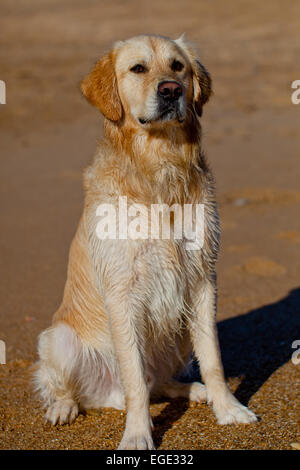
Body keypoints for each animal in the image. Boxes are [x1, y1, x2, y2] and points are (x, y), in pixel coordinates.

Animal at [34, 35, 256, 450]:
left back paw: (193, 390)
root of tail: (108, 396)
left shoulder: (202, 280)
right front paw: (138, 434)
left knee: (160, 382)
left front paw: (228, 408)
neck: (159, 165)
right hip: (58, 339)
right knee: (81, 386)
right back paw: (62, 408)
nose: (171, 90)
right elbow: (135, 379)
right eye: (138, 68)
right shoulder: (122, 290)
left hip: (179, 331)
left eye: (178, 67)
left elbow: (213, 360)